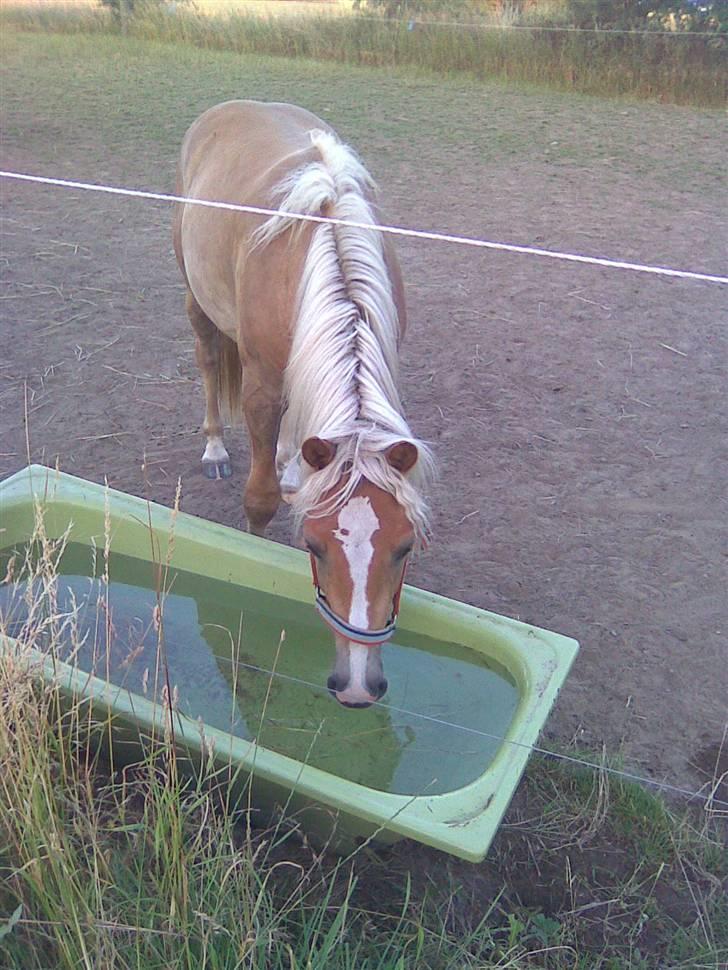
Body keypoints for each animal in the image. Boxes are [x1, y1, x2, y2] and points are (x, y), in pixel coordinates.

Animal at [172, 102, 432, 708]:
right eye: (312, 548)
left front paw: (296, 471)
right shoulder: (261, 387)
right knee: (207, 359)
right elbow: (261, 498)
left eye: (405, 547)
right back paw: (215, 446)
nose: (358, 685)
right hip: (197, 301)